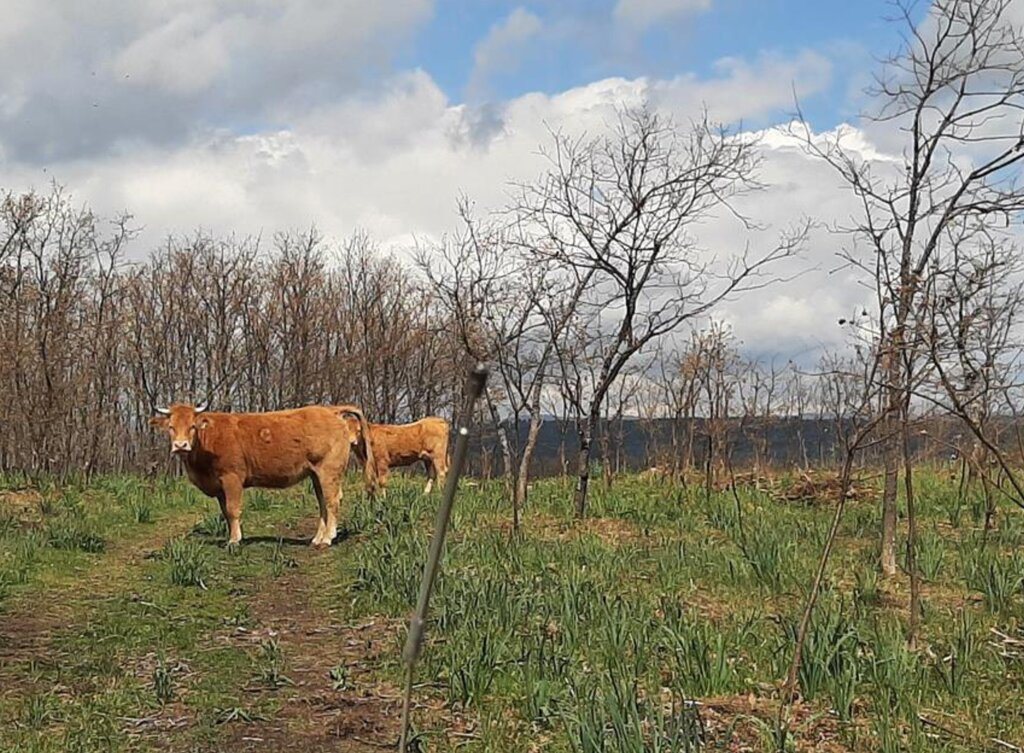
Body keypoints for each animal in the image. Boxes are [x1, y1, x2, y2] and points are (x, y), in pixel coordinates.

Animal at [149, 405, 378, 549]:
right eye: (171, 427)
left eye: (192, 427)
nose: (180, 445)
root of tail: (331, 409)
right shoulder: (220, 486)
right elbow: (225, 512)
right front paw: (231, 536)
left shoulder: (232, 478)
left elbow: (233, 510)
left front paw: (235, 540)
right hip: (316, 474)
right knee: (323, 503)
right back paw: (317, 538)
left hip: (328, 470)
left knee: (332, 501)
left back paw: (328, 538)